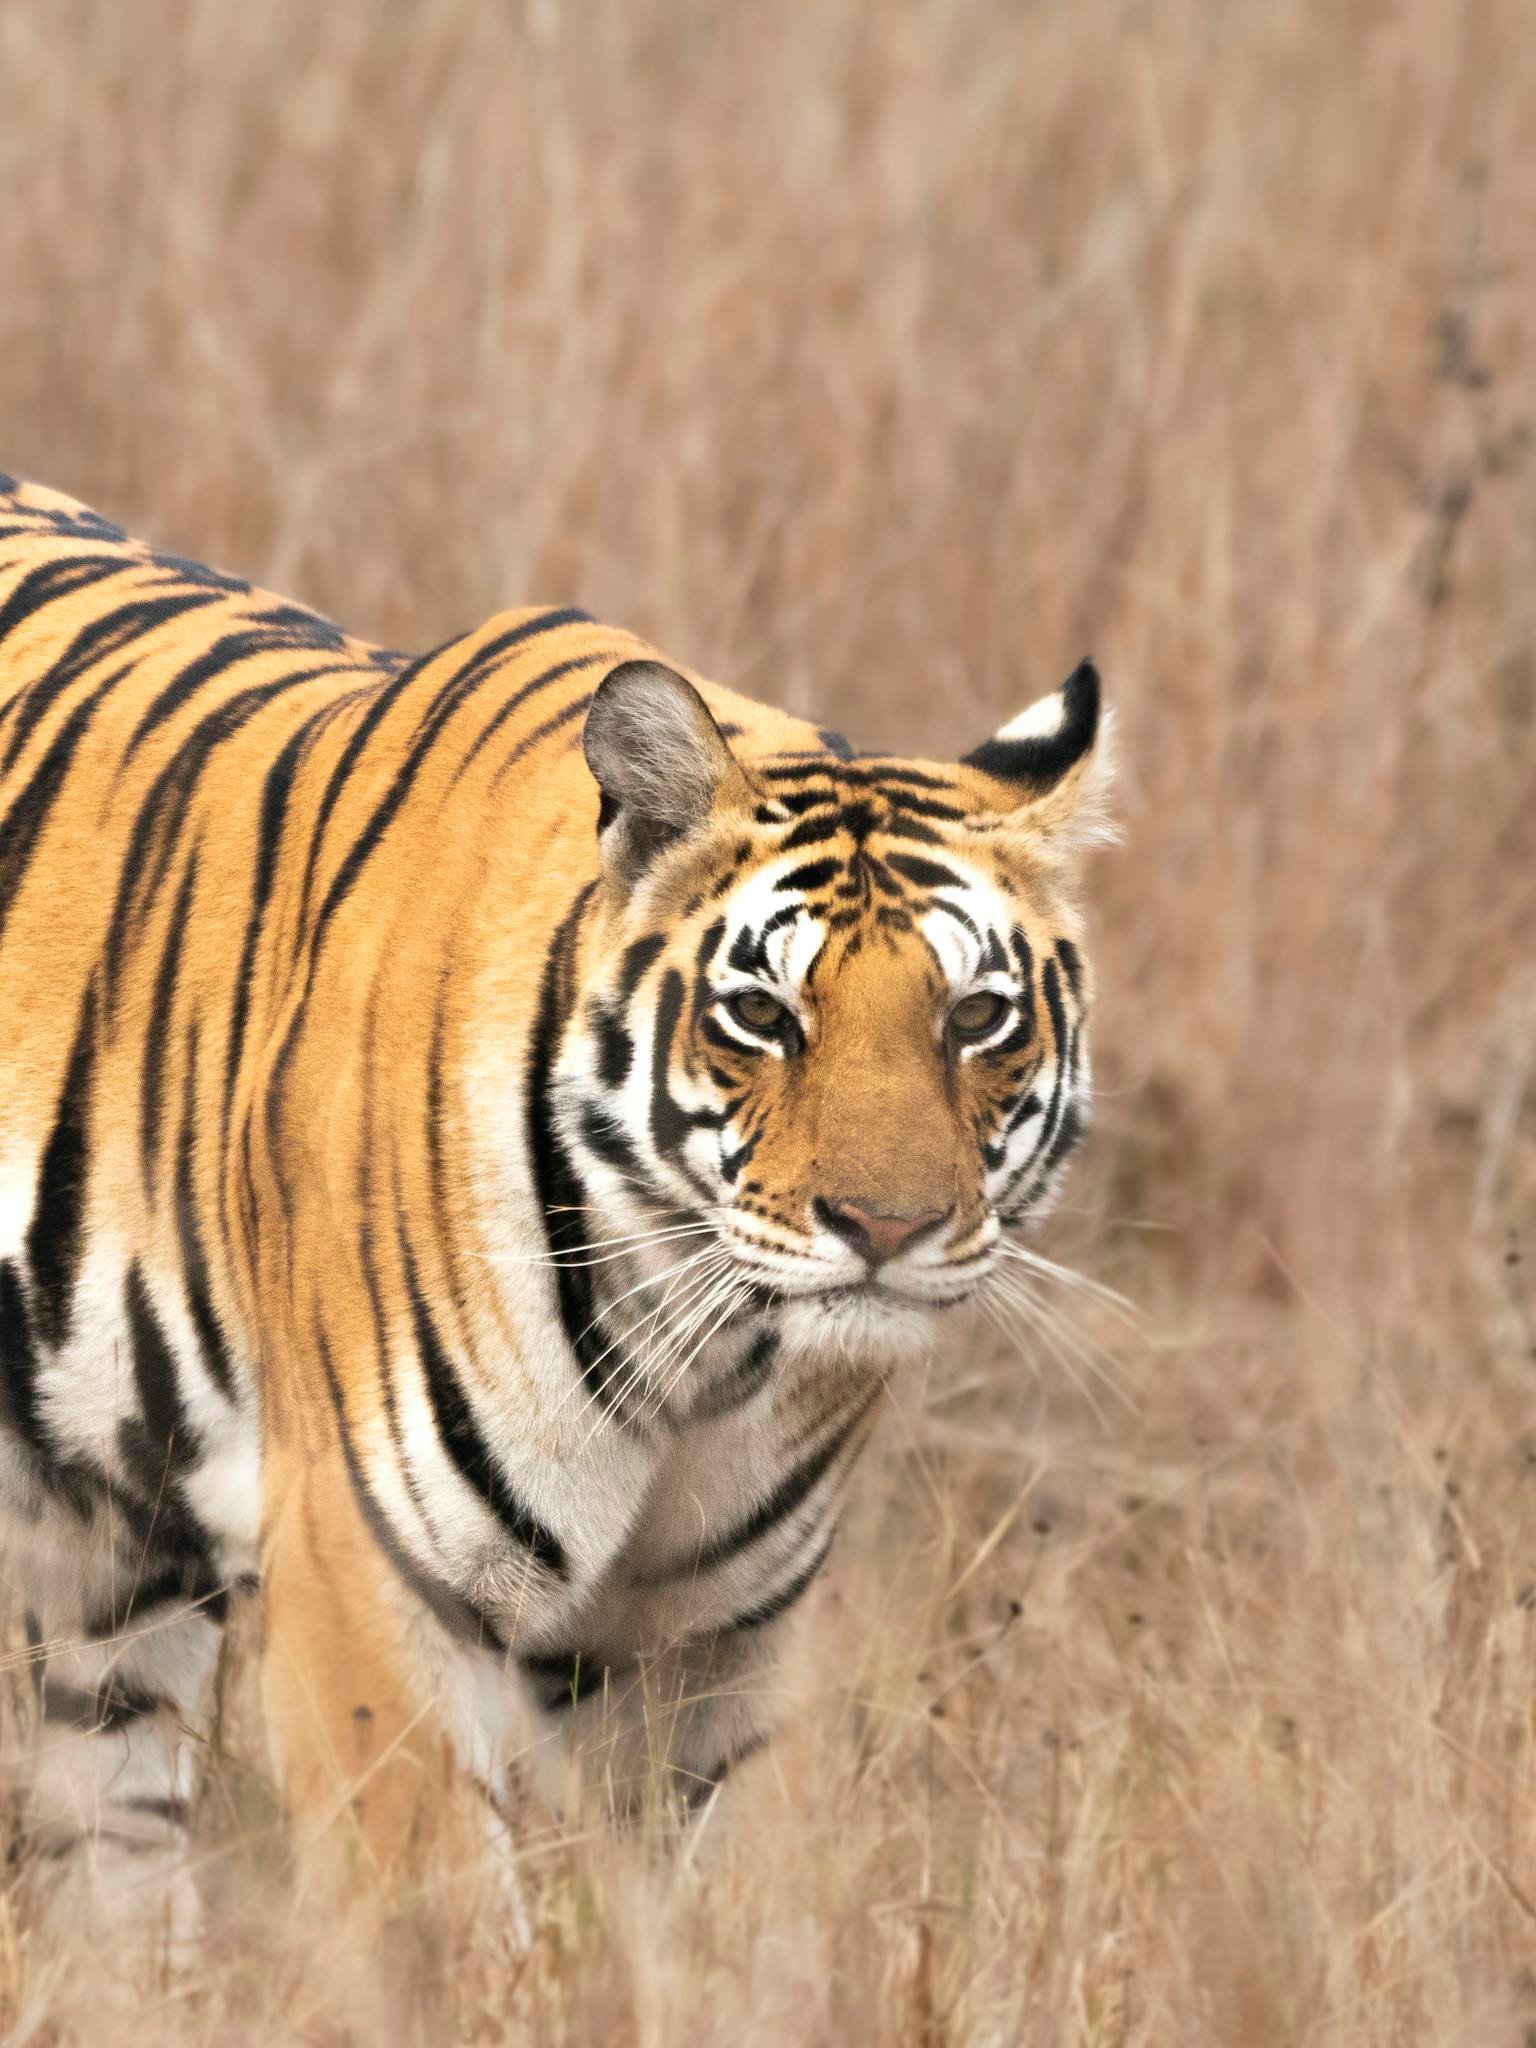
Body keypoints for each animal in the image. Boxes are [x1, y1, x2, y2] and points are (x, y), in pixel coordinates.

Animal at [0, 473, 1113, 1928]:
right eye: (763, 1015)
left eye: (976, 1019)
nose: (888, 1228)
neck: (706, 1345)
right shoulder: (373, 1583)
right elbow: (446, 1925)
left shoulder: (704, 1638)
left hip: (104, 1563)